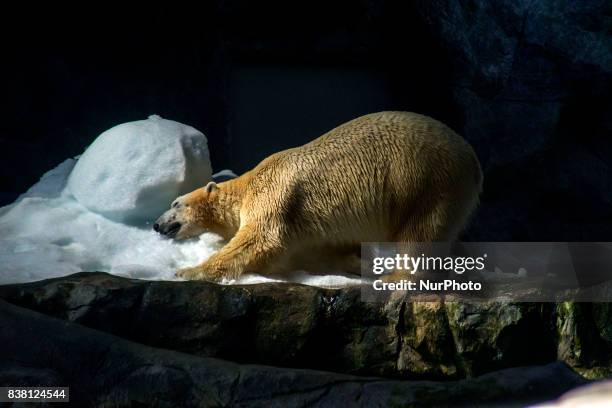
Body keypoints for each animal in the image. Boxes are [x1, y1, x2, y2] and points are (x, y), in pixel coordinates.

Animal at [154, 111, 482, 280]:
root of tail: (472, 158)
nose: (156, 224)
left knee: (420, 232)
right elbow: (333, 248)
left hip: (427, 182)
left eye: (175, 203)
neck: (246, 186)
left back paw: (396, 278)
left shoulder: (272, 194)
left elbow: (260, 240)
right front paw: (355, 265)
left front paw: (188, 270)